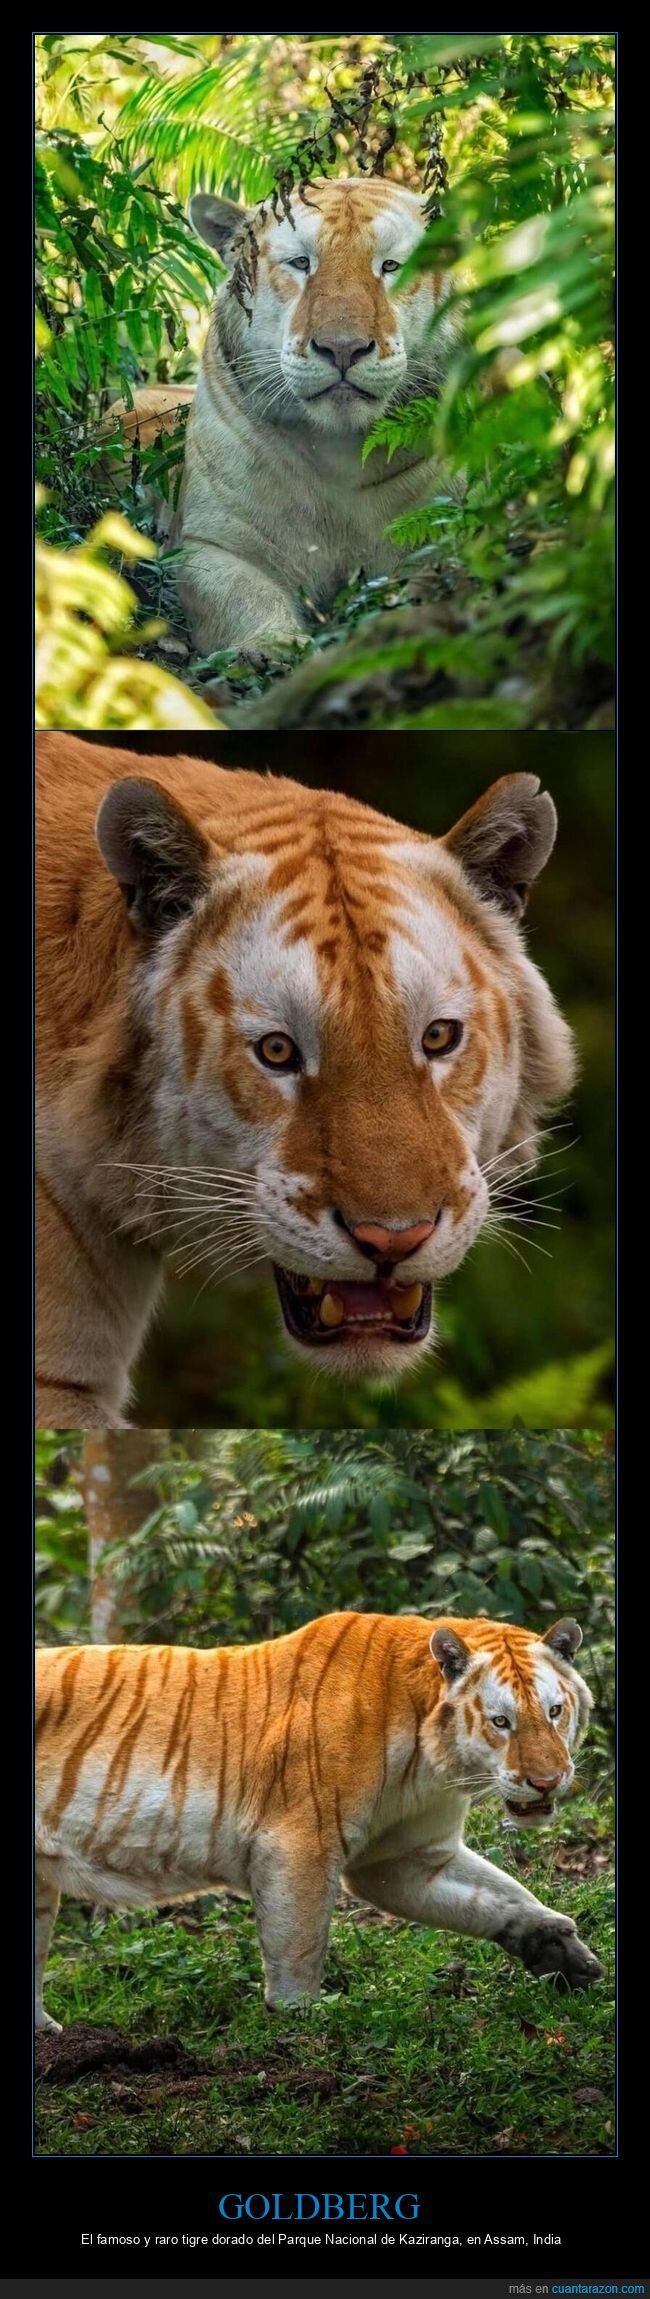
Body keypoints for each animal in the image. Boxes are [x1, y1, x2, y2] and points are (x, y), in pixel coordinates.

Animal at [35, 1610, 604, 2033]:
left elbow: (500, 1896)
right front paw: (301, 2022)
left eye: (554, 1711)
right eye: (501, 1721)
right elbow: (300, 1944)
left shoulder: (406, 1859)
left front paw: (560, 1948)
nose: (547, 1782)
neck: (429, 1762)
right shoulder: (298, 1842)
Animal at [173, 175, 461, 656]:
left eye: (391, 265)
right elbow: (245, 597)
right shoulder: (212, 544)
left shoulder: (442, 523)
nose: (343, 347)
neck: (338, 450)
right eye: (301, 263)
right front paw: (271, 647)